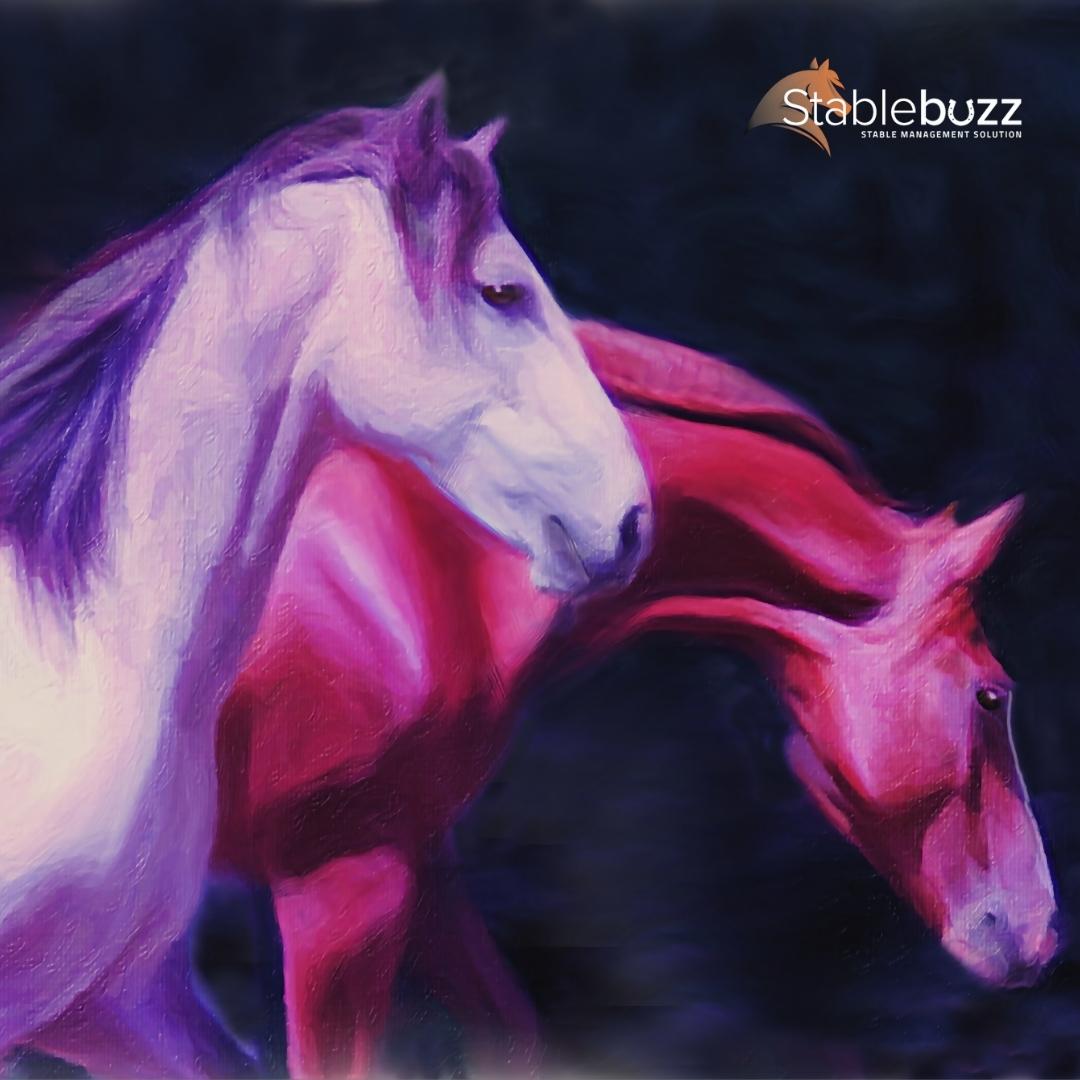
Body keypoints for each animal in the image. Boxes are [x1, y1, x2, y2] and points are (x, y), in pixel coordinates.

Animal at [208, 322, 1057, 1077]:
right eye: (992, 695)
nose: (1042, 935)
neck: (418, 551)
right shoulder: (343, 891)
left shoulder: (419, 856)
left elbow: (510, 1034)